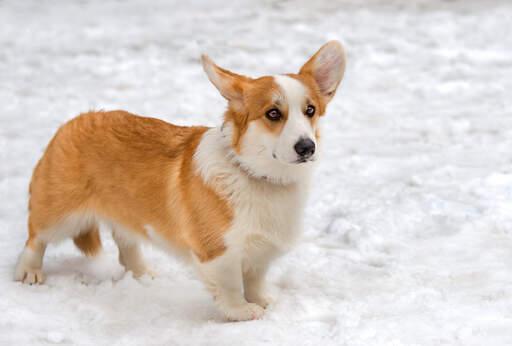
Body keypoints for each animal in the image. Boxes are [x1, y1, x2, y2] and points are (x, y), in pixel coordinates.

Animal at [13, 41, 348, 322]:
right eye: (273, 113)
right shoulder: (219, 253)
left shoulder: (259, 250)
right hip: (60, 216)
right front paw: (242, 312)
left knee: (126, 243)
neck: (258, 175)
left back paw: (144, 275)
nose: (307, 147)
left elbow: (254, 278)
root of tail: (74, 121)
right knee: (35, 239)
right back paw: (29, 273)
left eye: (310, 110)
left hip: (126, 214)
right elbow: (230, 285)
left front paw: (262, 299)